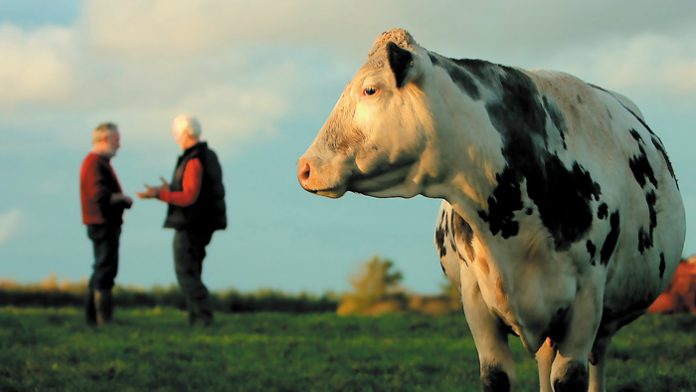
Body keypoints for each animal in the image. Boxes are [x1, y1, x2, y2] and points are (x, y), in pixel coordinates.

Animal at [294, 28, 684, 392]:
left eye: (370, 90)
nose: (305, 167)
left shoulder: (588, 298)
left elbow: (570, 377)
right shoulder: (477, 301)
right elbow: (497, 376)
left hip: (603, 318)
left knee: (595, 360)